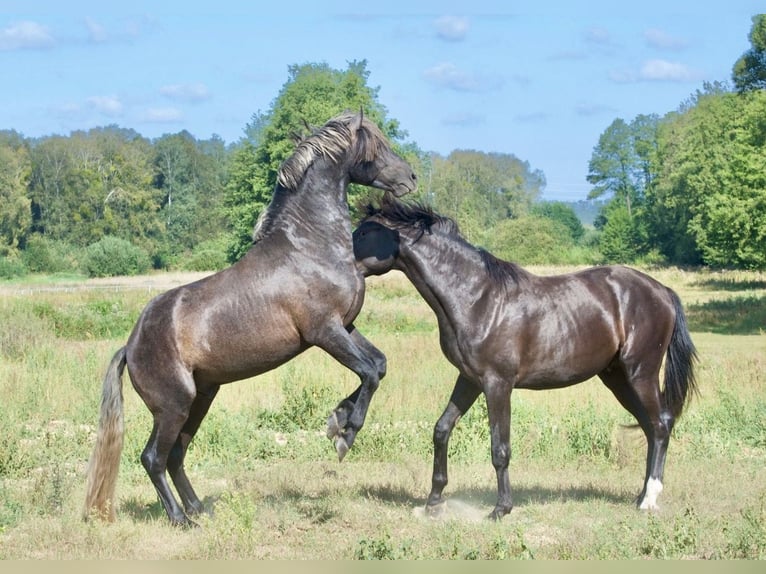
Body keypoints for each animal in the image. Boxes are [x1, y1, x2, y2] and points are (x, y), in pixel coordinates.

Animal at [85, 111, 420, 528]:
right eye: (375, 146)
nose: (410, 178)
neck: (310, 247)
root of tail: (130, 347)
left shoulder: (345, 326)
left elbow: (378, 365)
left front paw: (338, 418)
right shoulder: (324, 332)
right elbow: (369, 373)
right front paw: (346, 434)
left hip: (201, 399)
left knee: (176, 455)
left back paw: (199, 509)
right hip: (173, 406)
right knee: (153, 458)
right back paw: (181, 519)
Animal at [354, 198, 704, 520]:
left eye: (366, 232)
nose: (344, 263)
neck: (478, 298)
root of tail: (662, 291)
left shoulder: (498, 384)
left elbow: (500, 448)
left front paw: (501, 509)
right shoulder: (469, 379)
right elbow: (442, 429)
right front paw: (433, 503)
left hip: (640, 372)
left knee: (660, 425)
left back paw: (649, 499)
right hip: (617, 377)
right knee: (650, 427)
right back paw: (641, 495)